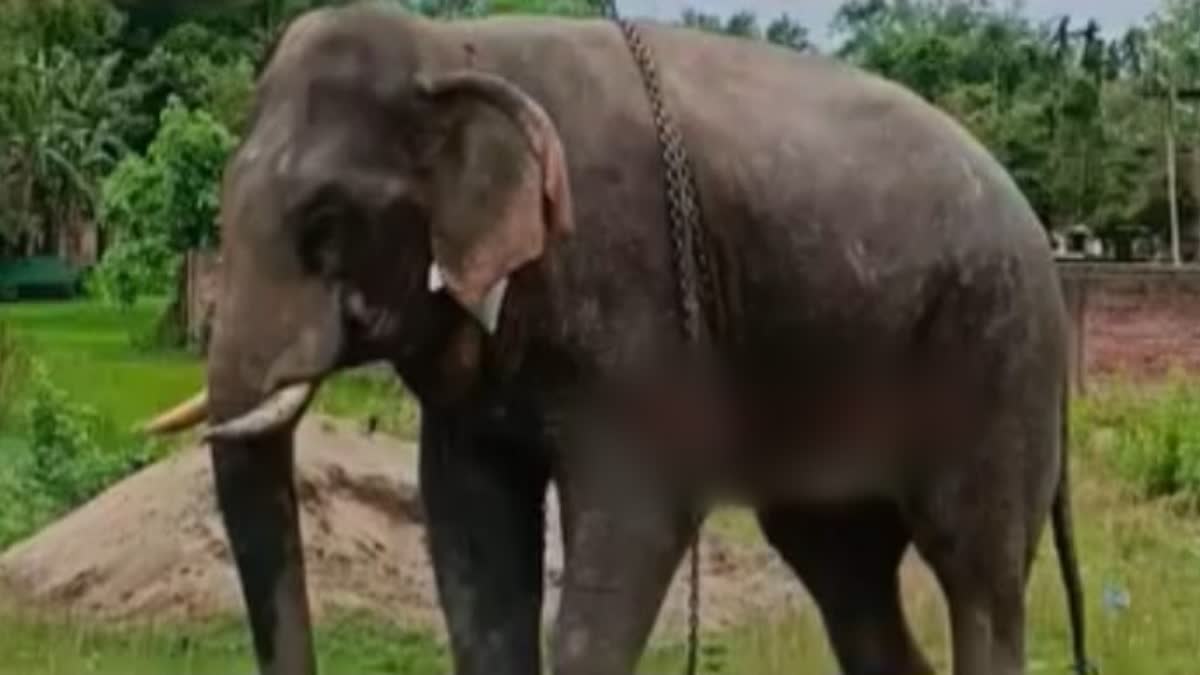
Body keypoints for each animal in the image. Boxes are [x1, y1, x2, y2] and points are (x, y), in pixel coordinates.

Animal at [143, 4, 1095, 675]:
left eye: (325, 223)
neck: (451, 48)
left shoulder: (635, 286)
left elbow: (640, 511)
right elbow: (470, 521)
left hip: (997, 359)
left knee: (976, 570)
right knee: (845, 569)